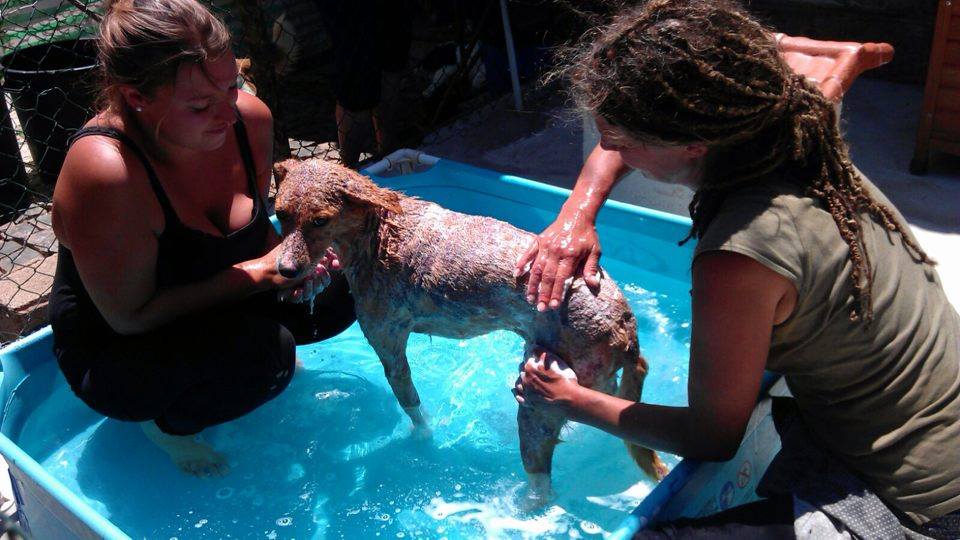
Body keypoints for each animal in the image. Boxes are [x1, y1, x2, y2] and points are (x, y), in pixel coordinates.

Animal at [272, 158, 667, 501]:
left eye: (320, 221)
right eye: (281, 214)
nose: (285, 270)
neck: (381, 233)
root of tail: (626, 329)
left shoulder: (389, 349)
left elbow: (413, 408)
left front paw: (421, 437)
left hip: (540, 401)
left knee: (543, 484)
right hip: (597, 382)